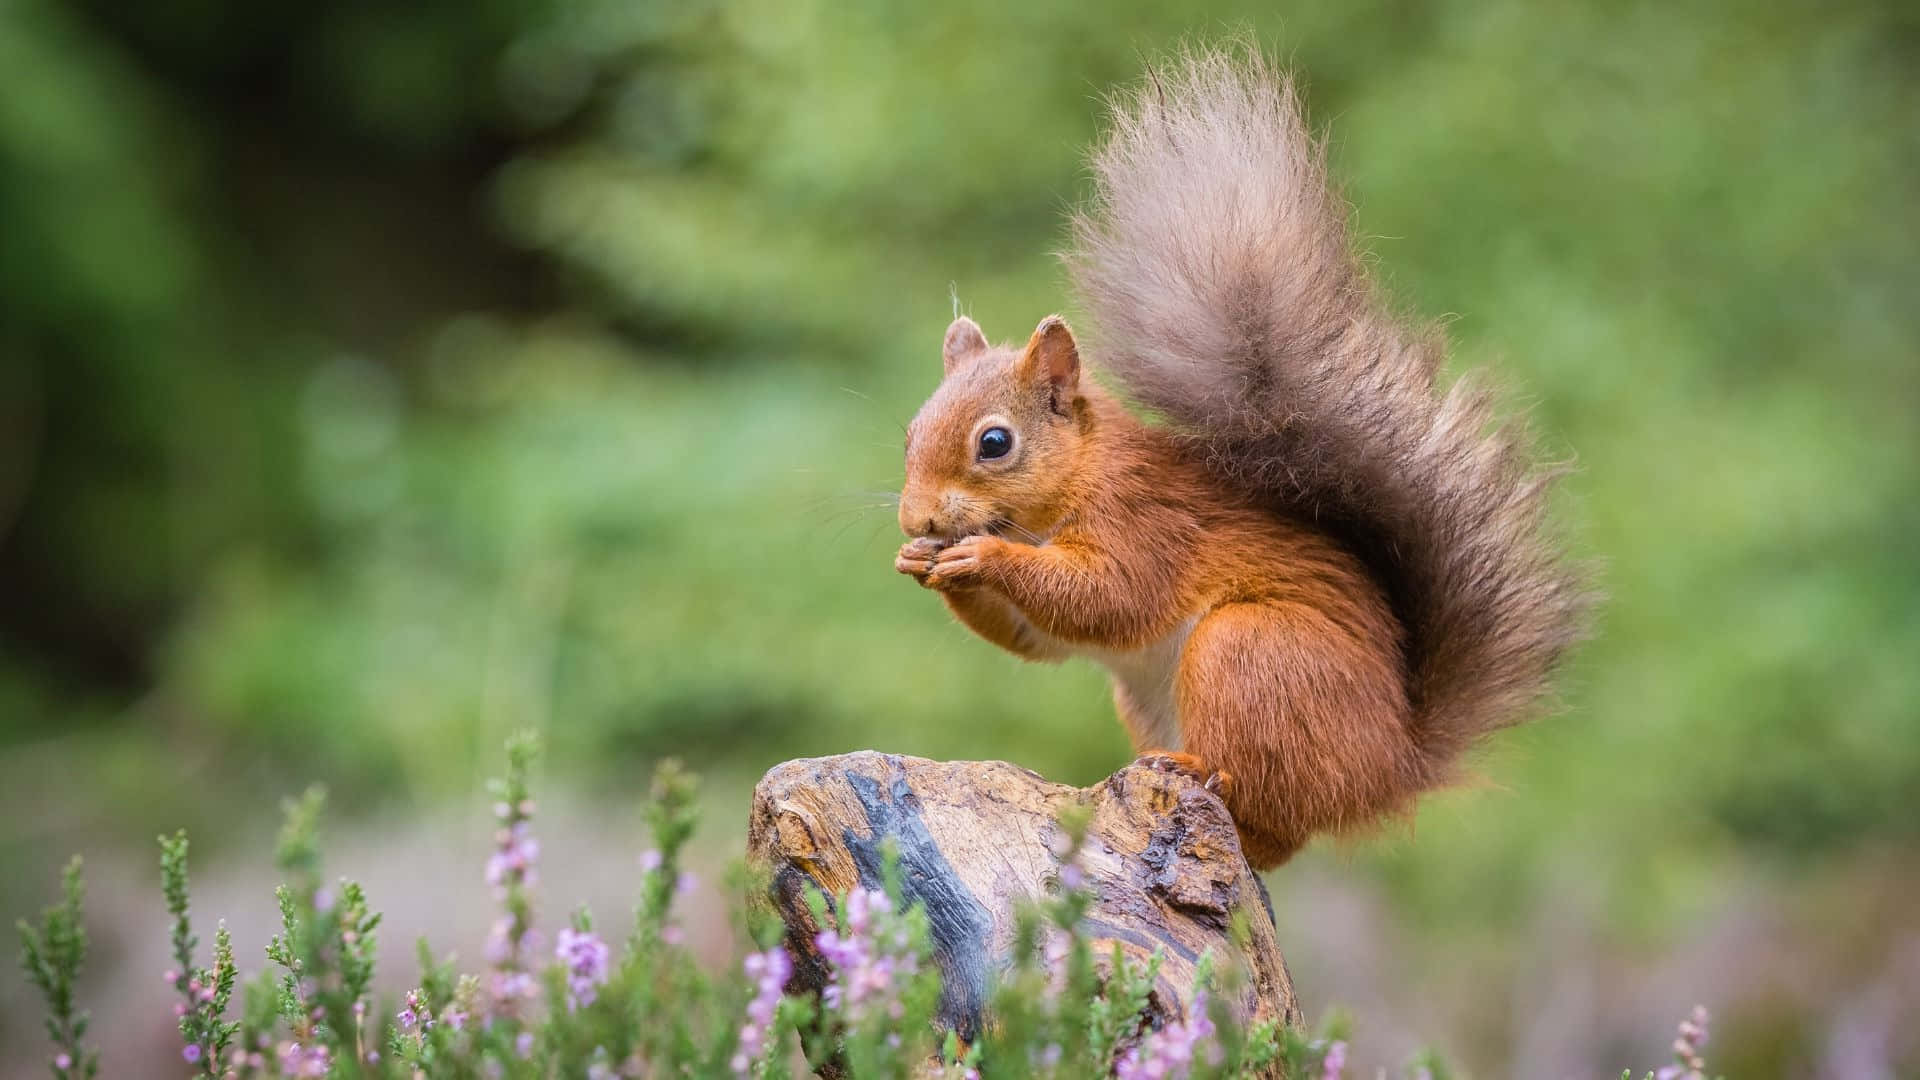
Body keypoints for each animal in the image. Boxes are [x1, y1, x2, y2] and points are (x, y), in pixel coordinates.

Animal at [893, 46, 1591, 869]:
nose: (916, 519)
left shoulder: (1146, 523)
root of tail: (1390, 767)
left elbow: (1107, 596)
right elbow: (1037, 637)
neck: (1072, 484)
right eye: (909, 433)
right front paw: (921, 563)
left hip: (1251, 654)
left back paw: (1197, 770)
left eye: (994, 442)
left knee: (1269, 808)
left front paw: (983, 557)